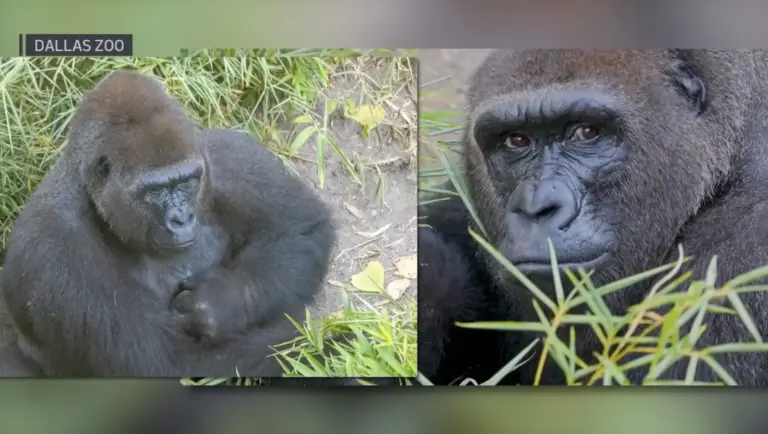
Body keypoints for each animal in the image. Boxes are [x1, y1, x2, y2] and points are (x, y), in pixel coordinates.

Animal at [0, 70, 336, 377]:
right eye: (155, 190)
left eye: (188, 182)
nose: (182, 218)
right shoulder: (54, 251)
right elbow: (173, 364)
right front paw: (331, 344)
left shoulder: (226, 156)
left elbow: (299, 227)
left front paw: (221, 300)